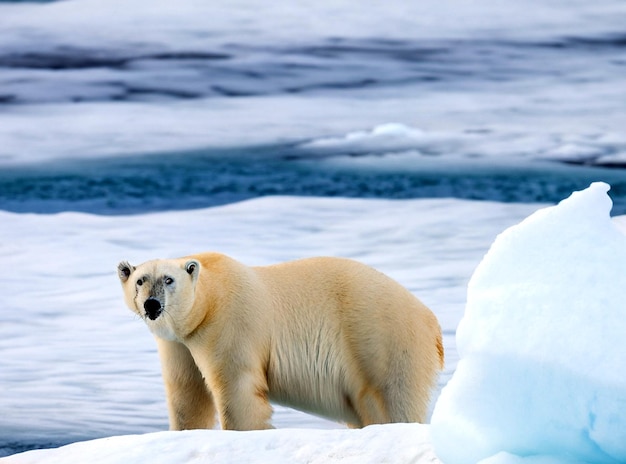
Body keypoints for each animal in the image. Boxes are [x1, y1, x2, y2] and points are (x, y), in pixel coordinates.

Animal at [116, 254, 438, 432]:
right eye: (141, 280)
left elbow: (236, 386)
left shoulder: (231, 323)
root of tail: (430, 319)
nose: (152, 305)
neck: (211, 296)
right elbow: (187, 392)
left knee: (391, 398)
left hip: (380, 337)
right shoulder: (179, 344)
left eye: (169, 279)